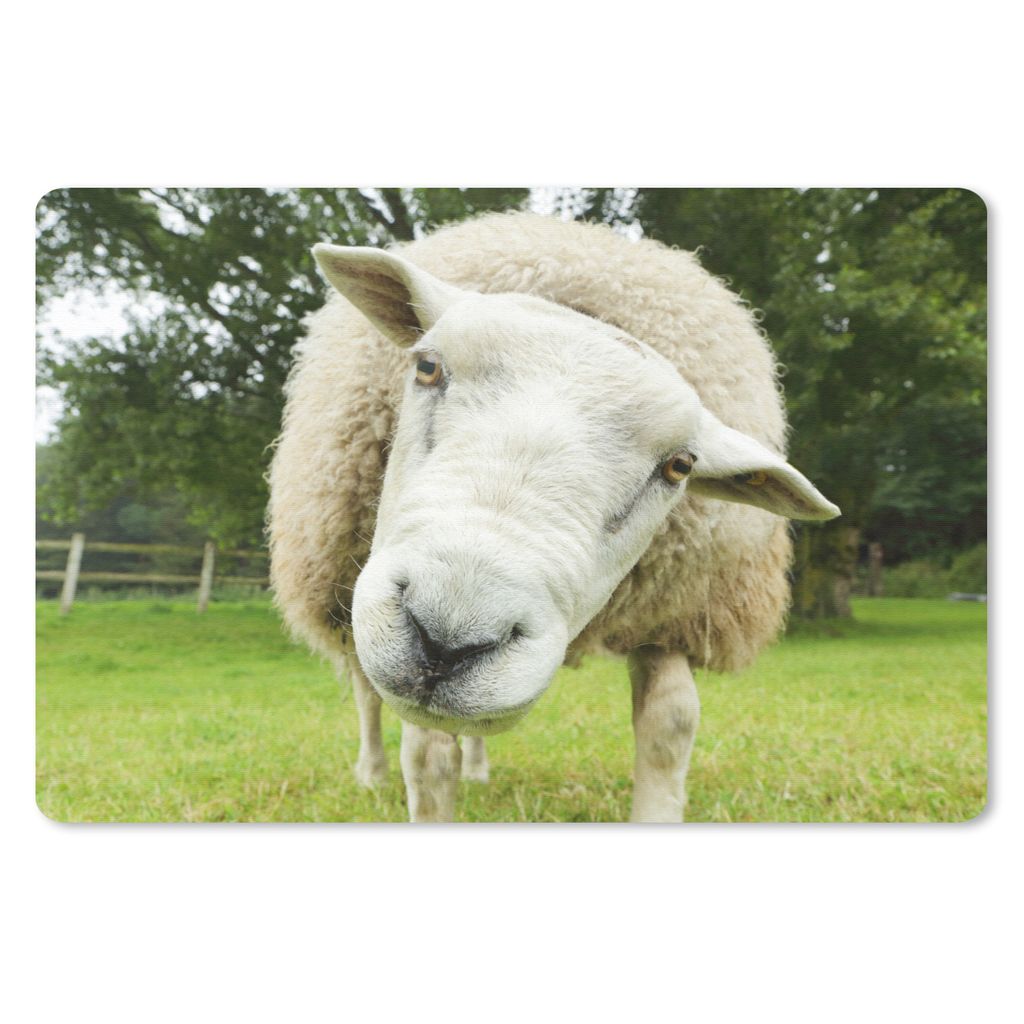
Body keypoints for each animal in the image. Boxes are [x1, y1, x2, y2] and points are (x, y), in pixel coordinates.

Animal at [267, 212, 839, 822]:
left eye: (680, 466)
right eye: (426, 366)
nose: (447, 640)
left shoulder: (672, 614)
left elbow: (670, 724)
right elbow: (426, 757)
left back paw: (477, 769)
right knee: (363, 689)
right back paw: (372, 773)